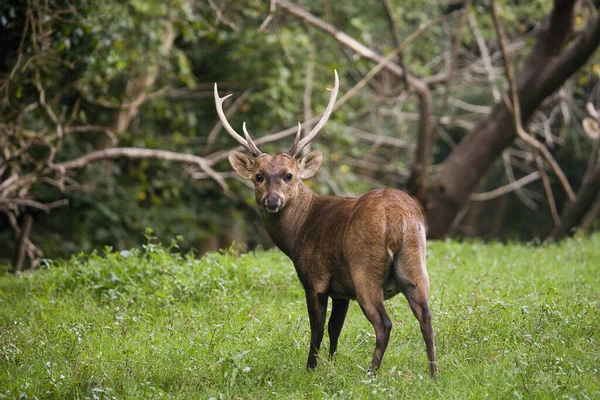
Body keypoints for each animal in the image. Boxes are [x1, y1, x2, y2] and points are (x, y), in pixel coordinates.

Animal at [214, 71, 436, 376]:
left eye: (289, 175)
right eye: (258, 176)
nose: (273, 200)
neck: (298, 234)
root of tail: (397, 217)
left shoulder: (315, 279)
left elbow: (317, 328)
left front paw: (311, 368)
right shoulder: (341, 289)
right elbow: (335, 328)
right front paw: (332, 365)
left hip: (364, 268)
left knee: (384, 323)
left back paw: (371, 374)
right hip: (416, 263)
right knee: (426, 317)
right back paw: (434, 374)